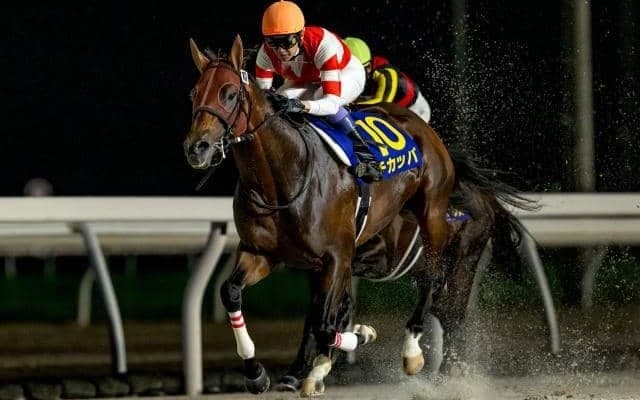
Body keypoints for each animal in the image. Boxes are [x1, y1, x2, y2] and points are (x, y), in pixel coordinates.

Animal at [184, 34, 457, 397]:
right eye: (194, 93)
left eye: (229, 93)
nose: (196, 148)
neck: (282, 177)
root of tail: (420, 126)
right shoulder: (261, 253)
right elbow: (231, 293)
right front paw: (257, 373)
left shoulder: (337, 256)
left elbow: (325, 323)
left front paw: (360, 336)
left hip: (433, 214)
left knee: (431, 278)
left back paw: (411, 351)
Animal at [275, 147, 540, 391]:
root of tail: (485, 199)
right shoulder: (326, 266)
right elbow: (319, 313)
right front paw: (298, 373)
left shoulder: (374, 254)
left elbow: (330, 309)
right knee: (445, 310)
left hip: (464, 261)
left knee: (455, 314)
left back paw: (447, 370)